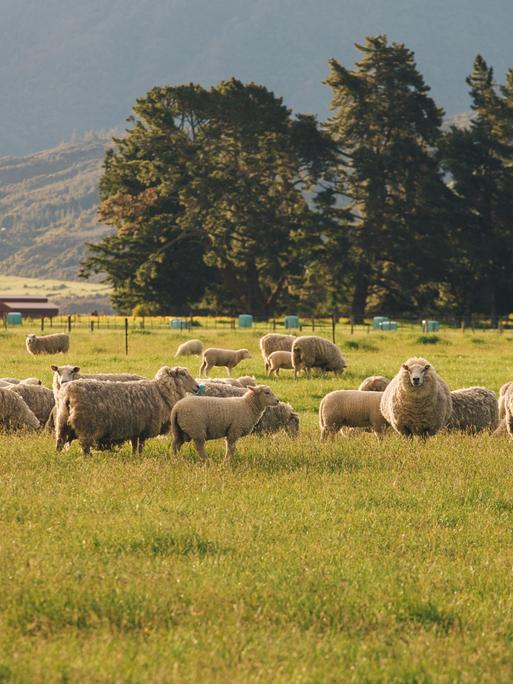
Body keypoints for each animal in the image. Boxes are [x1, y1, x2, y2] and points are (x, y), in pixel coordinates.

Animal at [55, 366, 199, 456]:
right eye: (184, 375)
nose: (197, 387)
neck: (160, 391)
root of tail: (68, 394)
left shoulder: (135, 428)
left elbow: (135, 446)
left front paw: (134, 457)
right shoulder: (144, 429)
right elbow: (140, 446)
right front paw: (140, 457)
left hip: (62, 422)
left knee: (59, 444)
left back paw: (58, 458)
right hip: (86, 426)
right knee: (85, 448)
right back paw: (88, 460)